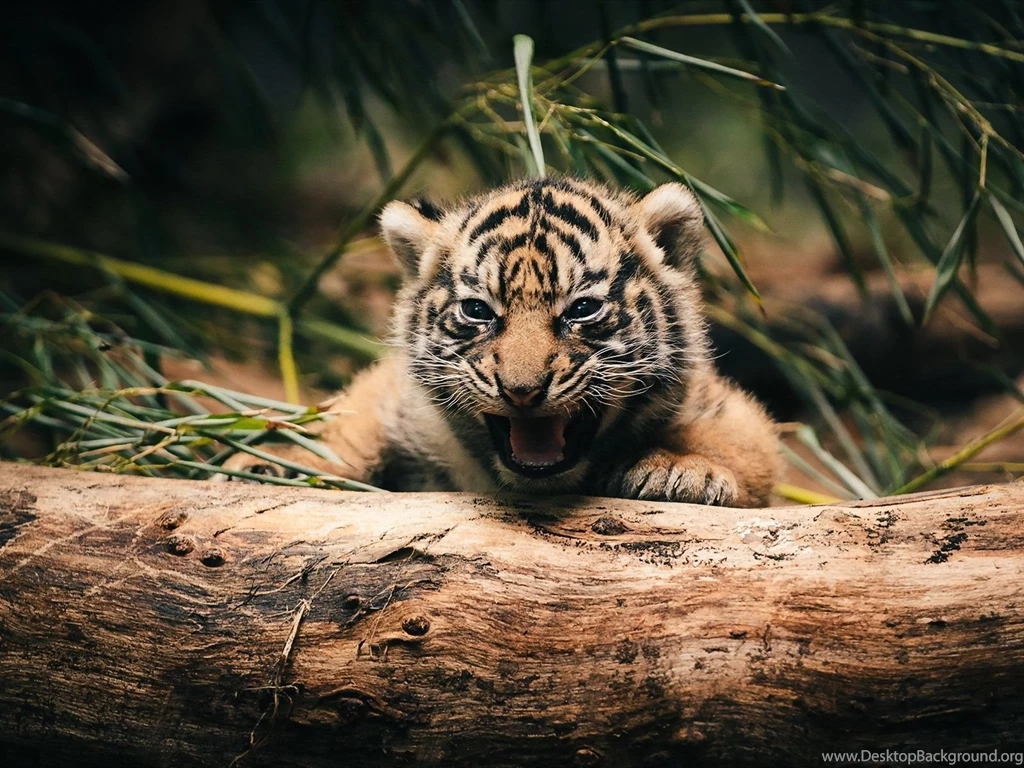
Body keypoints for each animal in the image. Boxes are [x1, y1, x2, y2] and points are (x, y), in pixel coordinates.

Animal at [225, 178, 781, 507]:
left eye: (582, 309)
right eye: (478, 311)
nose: (522, 391)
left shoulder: (723, 406)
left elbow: (743, 442)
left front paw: (678, 471)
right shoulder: (394, 395)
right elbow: (349, 420)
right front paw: (271, 462)